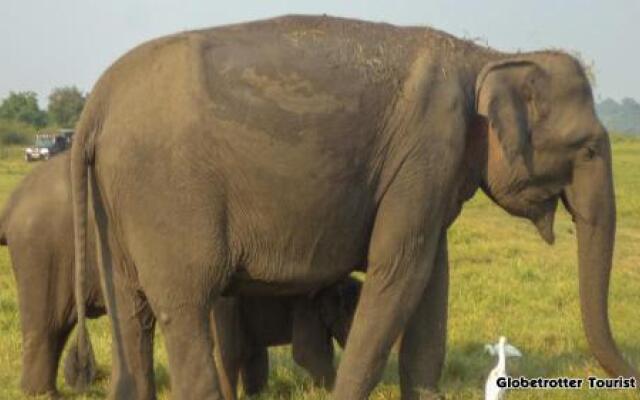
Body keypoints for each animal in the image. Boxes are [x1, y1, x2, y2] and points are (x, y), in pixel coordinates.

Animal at [67, 14, 636, 398]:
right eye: (589, 148)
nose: (628, 373)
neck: (484, 58)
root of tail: (97, 102)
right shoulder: (428, 147)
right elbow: (400, 271)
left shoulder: (432, 173)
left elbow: (432, 277)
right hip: (164, 194)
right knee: (184, 303)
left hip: (115, 204)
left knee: (131, 311)